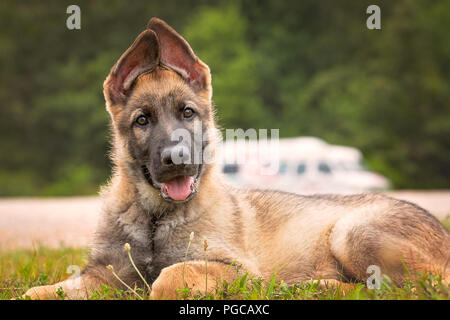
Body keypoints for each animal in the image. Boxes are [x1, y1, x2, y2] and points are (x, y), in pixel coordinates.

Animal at [25, 16, 450, 298]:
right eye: (142, 120)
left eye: (188, 113)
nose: (177, 158)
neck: (155, 218)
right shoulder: (101, 274)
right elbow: (40, 291)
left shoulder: (238, 270)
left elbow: (170, 276)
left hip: (352, 232)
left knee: (412, 285)